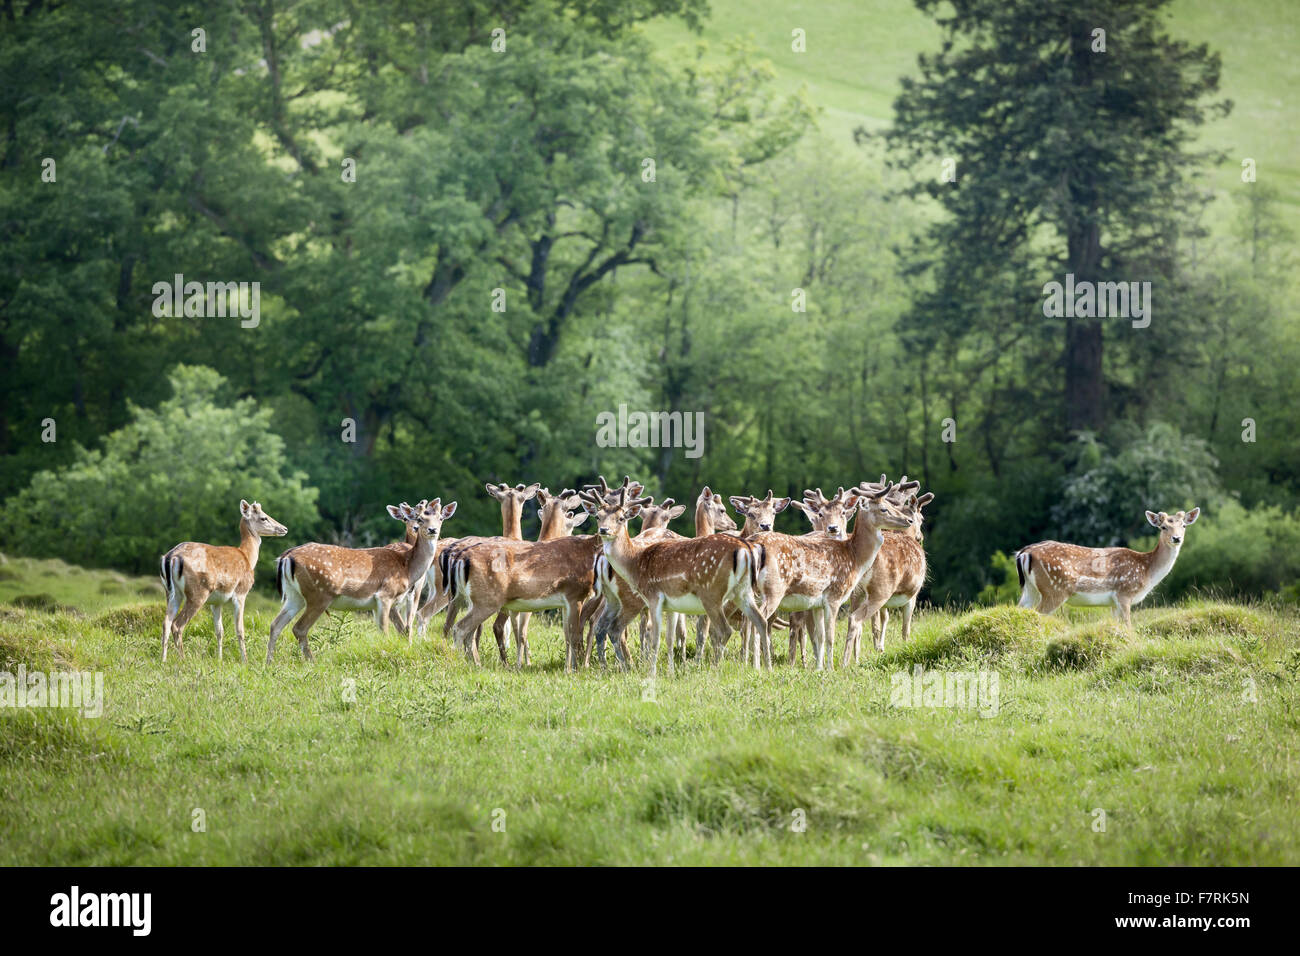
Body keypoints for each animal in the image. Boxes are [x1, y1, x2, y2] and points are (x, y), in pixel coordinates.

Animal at [160, 500, 289, 663]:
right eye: (263, 517)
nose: (284, 528)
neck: (247, 557)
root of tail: (171, 557)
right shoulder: (241, 592)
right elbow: (239, 629)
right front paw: (245, 661)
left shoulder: (216, 602)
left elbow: (219, 630)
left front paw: (219, 659)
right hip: (197, 593)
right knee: (177, 625)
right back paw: (183, 660)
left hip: (171, 593)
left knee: (166, 622)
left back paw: (163, 660)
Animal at [267, 499, 456, 662]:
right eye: (419, 519)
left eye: (440, 518)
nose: (432, 530)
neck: (407, 568)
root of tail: (286, 557)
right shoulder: (385, 595)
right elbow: (386, 632)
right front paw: (385, 654)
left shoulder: (377, 604)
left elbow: (386, 631)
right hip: (319, 594)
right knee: (299, 628)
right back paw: (311, 661)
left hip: (294, 595)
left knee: (275, 624)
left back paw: (269, 664)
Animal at [583, 479, 769, 678]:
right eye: (598, 517)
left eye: (621, 518)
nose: (604, 530)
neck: (635, 561)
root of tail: (745, 549)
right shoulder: (670, 604)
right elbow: (670, 637)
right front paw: (671, 672)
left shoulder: (654, 596)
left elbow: (659, 637)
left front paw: (655, 673)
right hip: (742, 592)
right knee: (760, 622)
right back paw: (767, 667)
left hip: (710, 593)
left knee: (725, 630)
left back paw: (713, 669)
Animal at [842, 491, 934, 663]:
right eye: (922, 518)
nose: (921, 536)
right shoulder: (913, 594)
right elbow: (905, 628)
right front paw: (906, 647)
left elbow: (884, 619)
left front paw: (880, 648)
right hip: (881, 590)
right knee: (855, 619)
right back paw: (845, 662)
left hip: (857, 593)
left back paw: (855, 660)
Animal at [1014, 508, 1200, 626]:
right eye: (1163, 527)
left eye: (1183, 525)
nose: (1176, 538)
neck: (1147, 570)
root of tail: (1024, 553)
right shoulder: (1124, 592)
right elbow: (1128, 625)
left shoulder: (1112, 603)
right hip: (1054, 589)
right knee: (1039, 613)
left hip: (1031, 589)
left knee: (1020, 609)